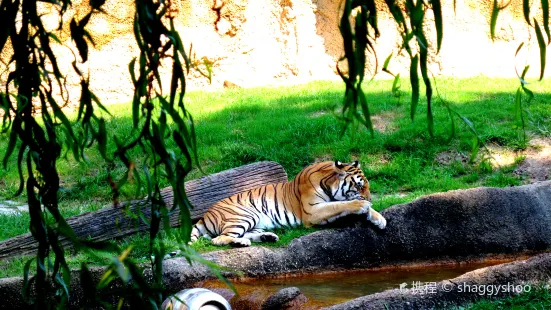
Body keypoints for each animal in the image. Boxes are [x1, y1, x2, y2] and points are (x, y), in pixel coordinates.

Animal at [190, 160, 388, 247]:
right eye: (359, 186)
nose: (370, 199)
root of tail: (204, 216)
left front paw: (379, 219)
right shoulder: (312, 212)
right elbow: (340, 205)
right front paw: (363, 206)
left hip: (255, 223)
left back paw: (268, 237)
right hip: (243, 215)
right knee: (218, 239)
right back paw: (242, 243)